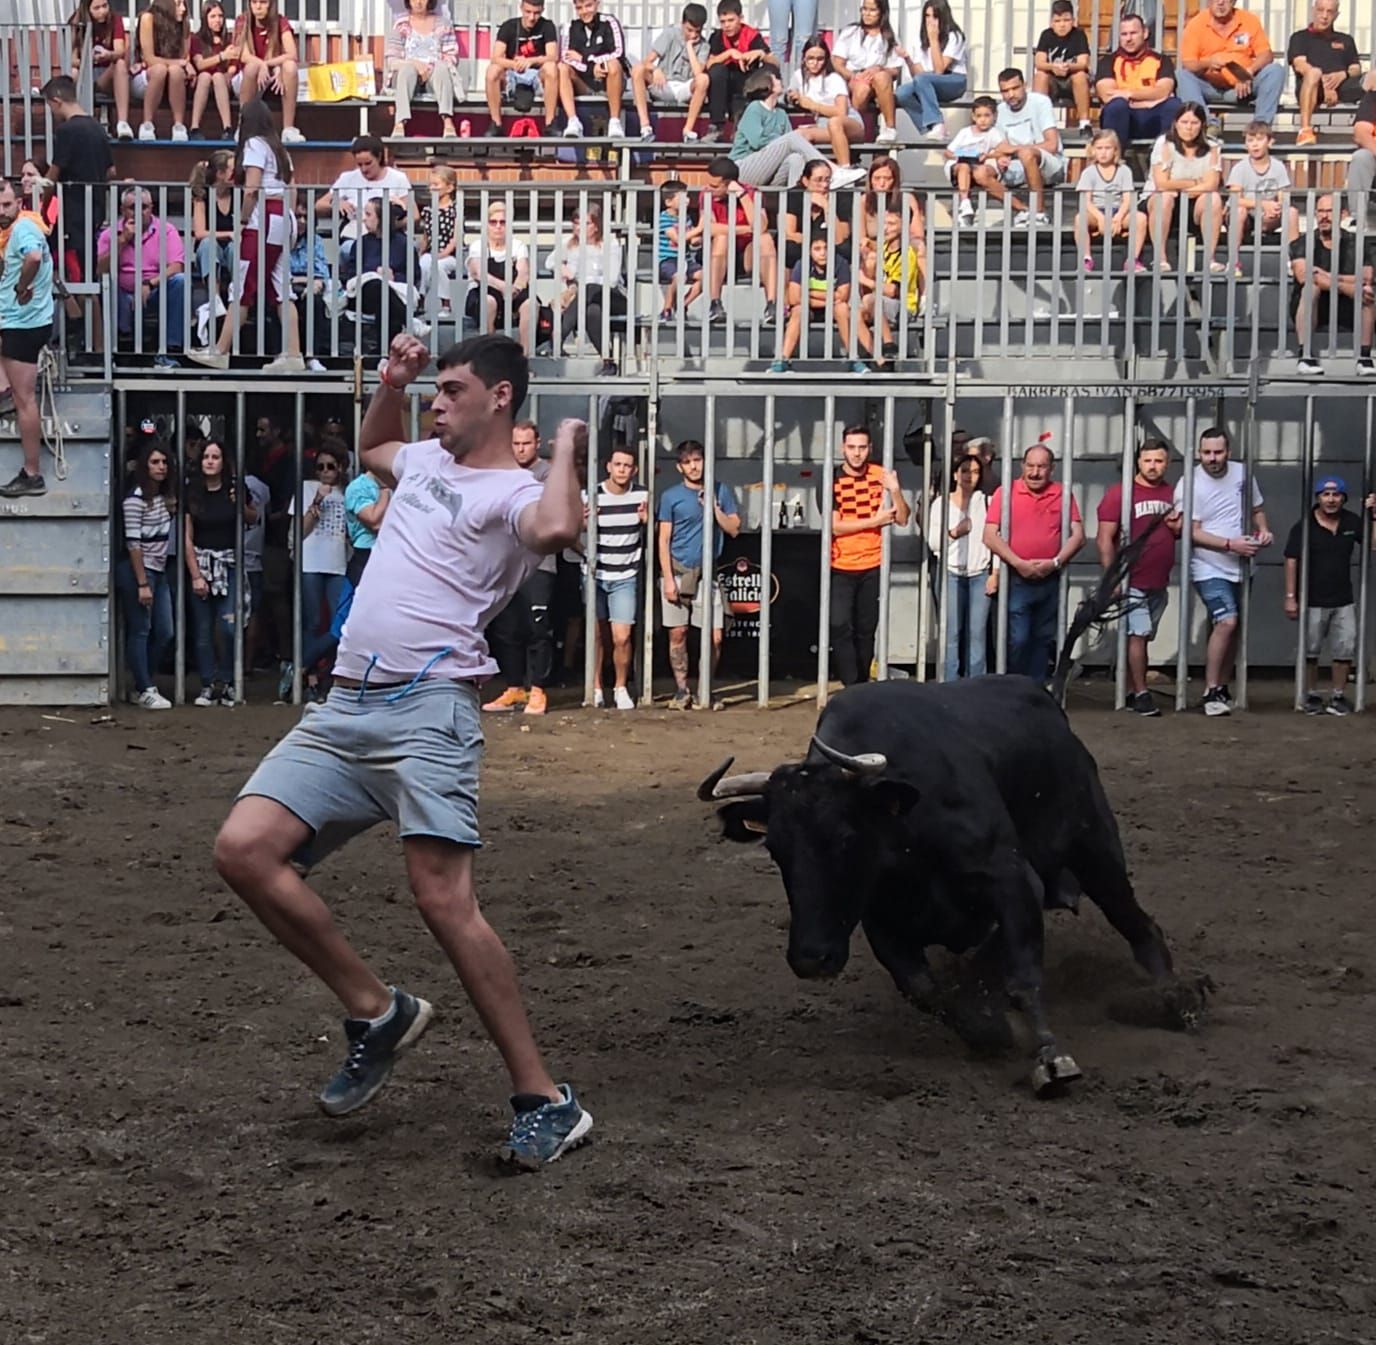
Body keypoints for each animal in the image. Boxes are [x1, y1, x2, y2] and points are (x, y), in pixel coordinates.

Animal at [699, 682, 1205, 1090]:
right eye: (775, 849)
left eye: (845, 838)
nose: (810, 957)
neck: (905, 825)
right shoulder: (882, 920)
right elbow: (925, 989)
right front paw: (990, 1030)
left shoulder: (1013, 882)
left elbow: (1022, 977)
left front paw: (1050, 1057)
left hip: (1096, 850)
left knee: (1139, 927)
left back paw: (1175, 999)